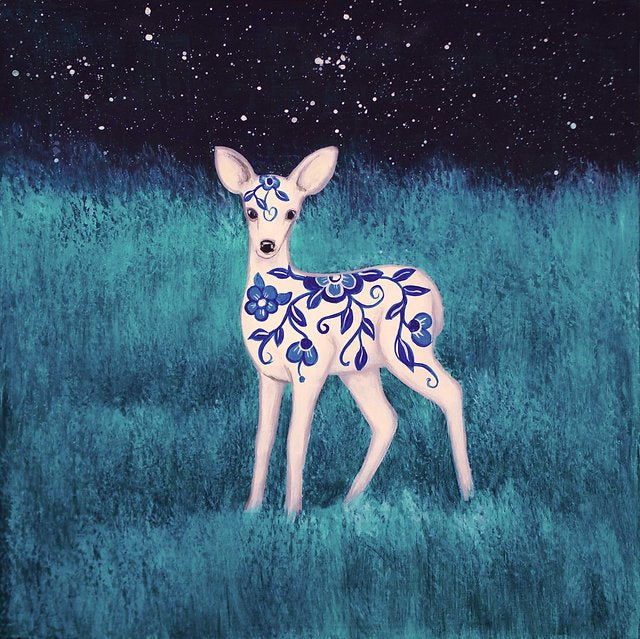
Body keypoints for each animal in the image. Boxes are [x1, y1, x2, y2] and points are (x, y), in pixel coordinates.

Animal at [214, 145, 474, 515]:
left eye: (291, 213)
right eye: (250, 211)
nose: (267, 245)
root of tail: (434, 297)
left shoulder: (310, 369)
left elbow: (296, 440)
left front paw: (291, 513)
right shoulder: (269, 375)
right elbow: (262, 440)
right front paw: (252, 510)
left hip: (408, 349)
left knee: (452, 391)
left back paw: (467, 492)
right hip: (361, 369)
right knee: (386, 419)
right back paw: (349, 500)